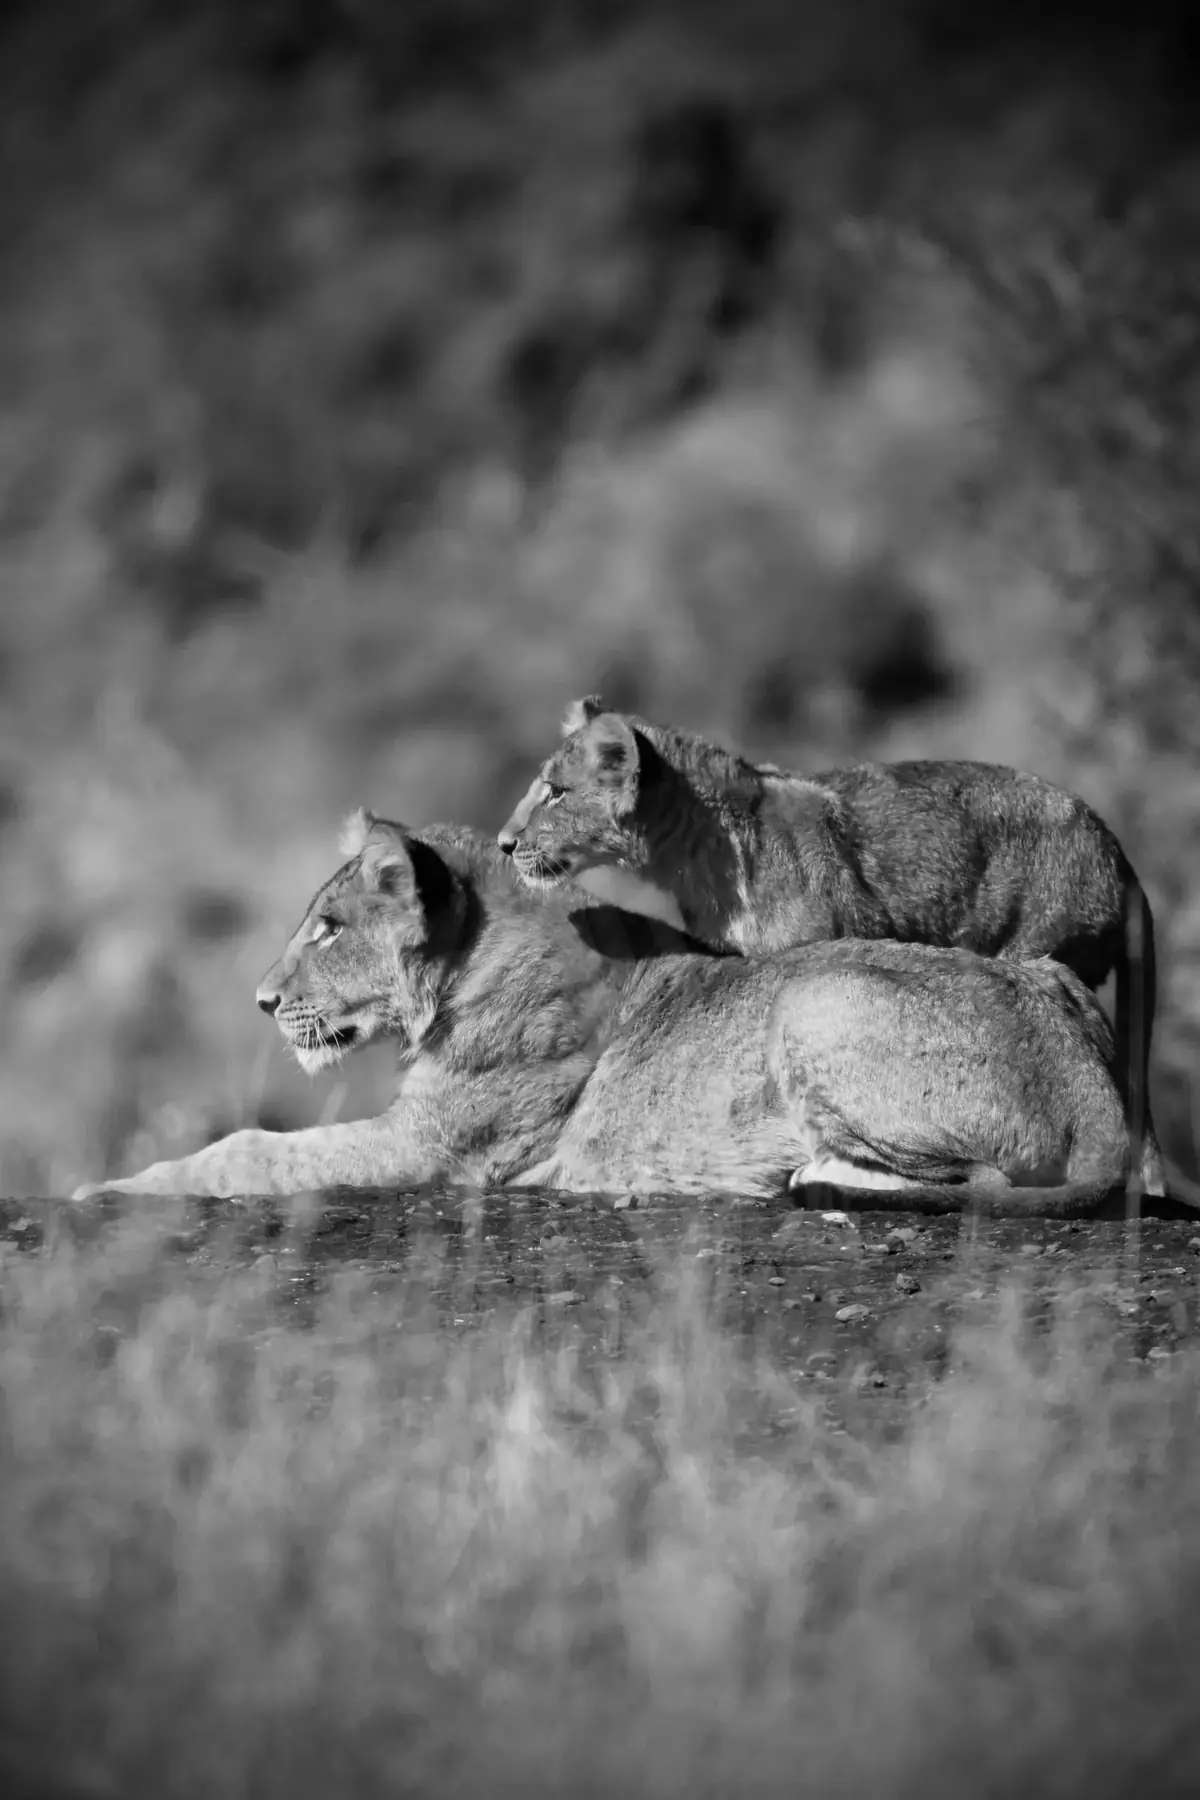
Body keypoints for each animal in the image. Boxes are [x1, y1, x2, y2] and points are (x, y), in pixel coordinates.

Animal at [73, 812, 1156, 1218]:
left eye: (328, 929)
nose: (261, 1001)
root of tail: (1097, 1083)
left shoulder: (437, 1148)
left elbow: (249, 1149)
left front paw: (110, 1188)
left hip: (816, 998)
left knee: (971, 1179)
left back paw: (794, 1176)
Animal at [498, 696, 1161, 1191]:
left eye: (555, 792)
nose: (505, 844)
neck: (696, 853)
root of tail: (1119, 852)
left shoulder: (817, 944)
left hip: (1041, 948)